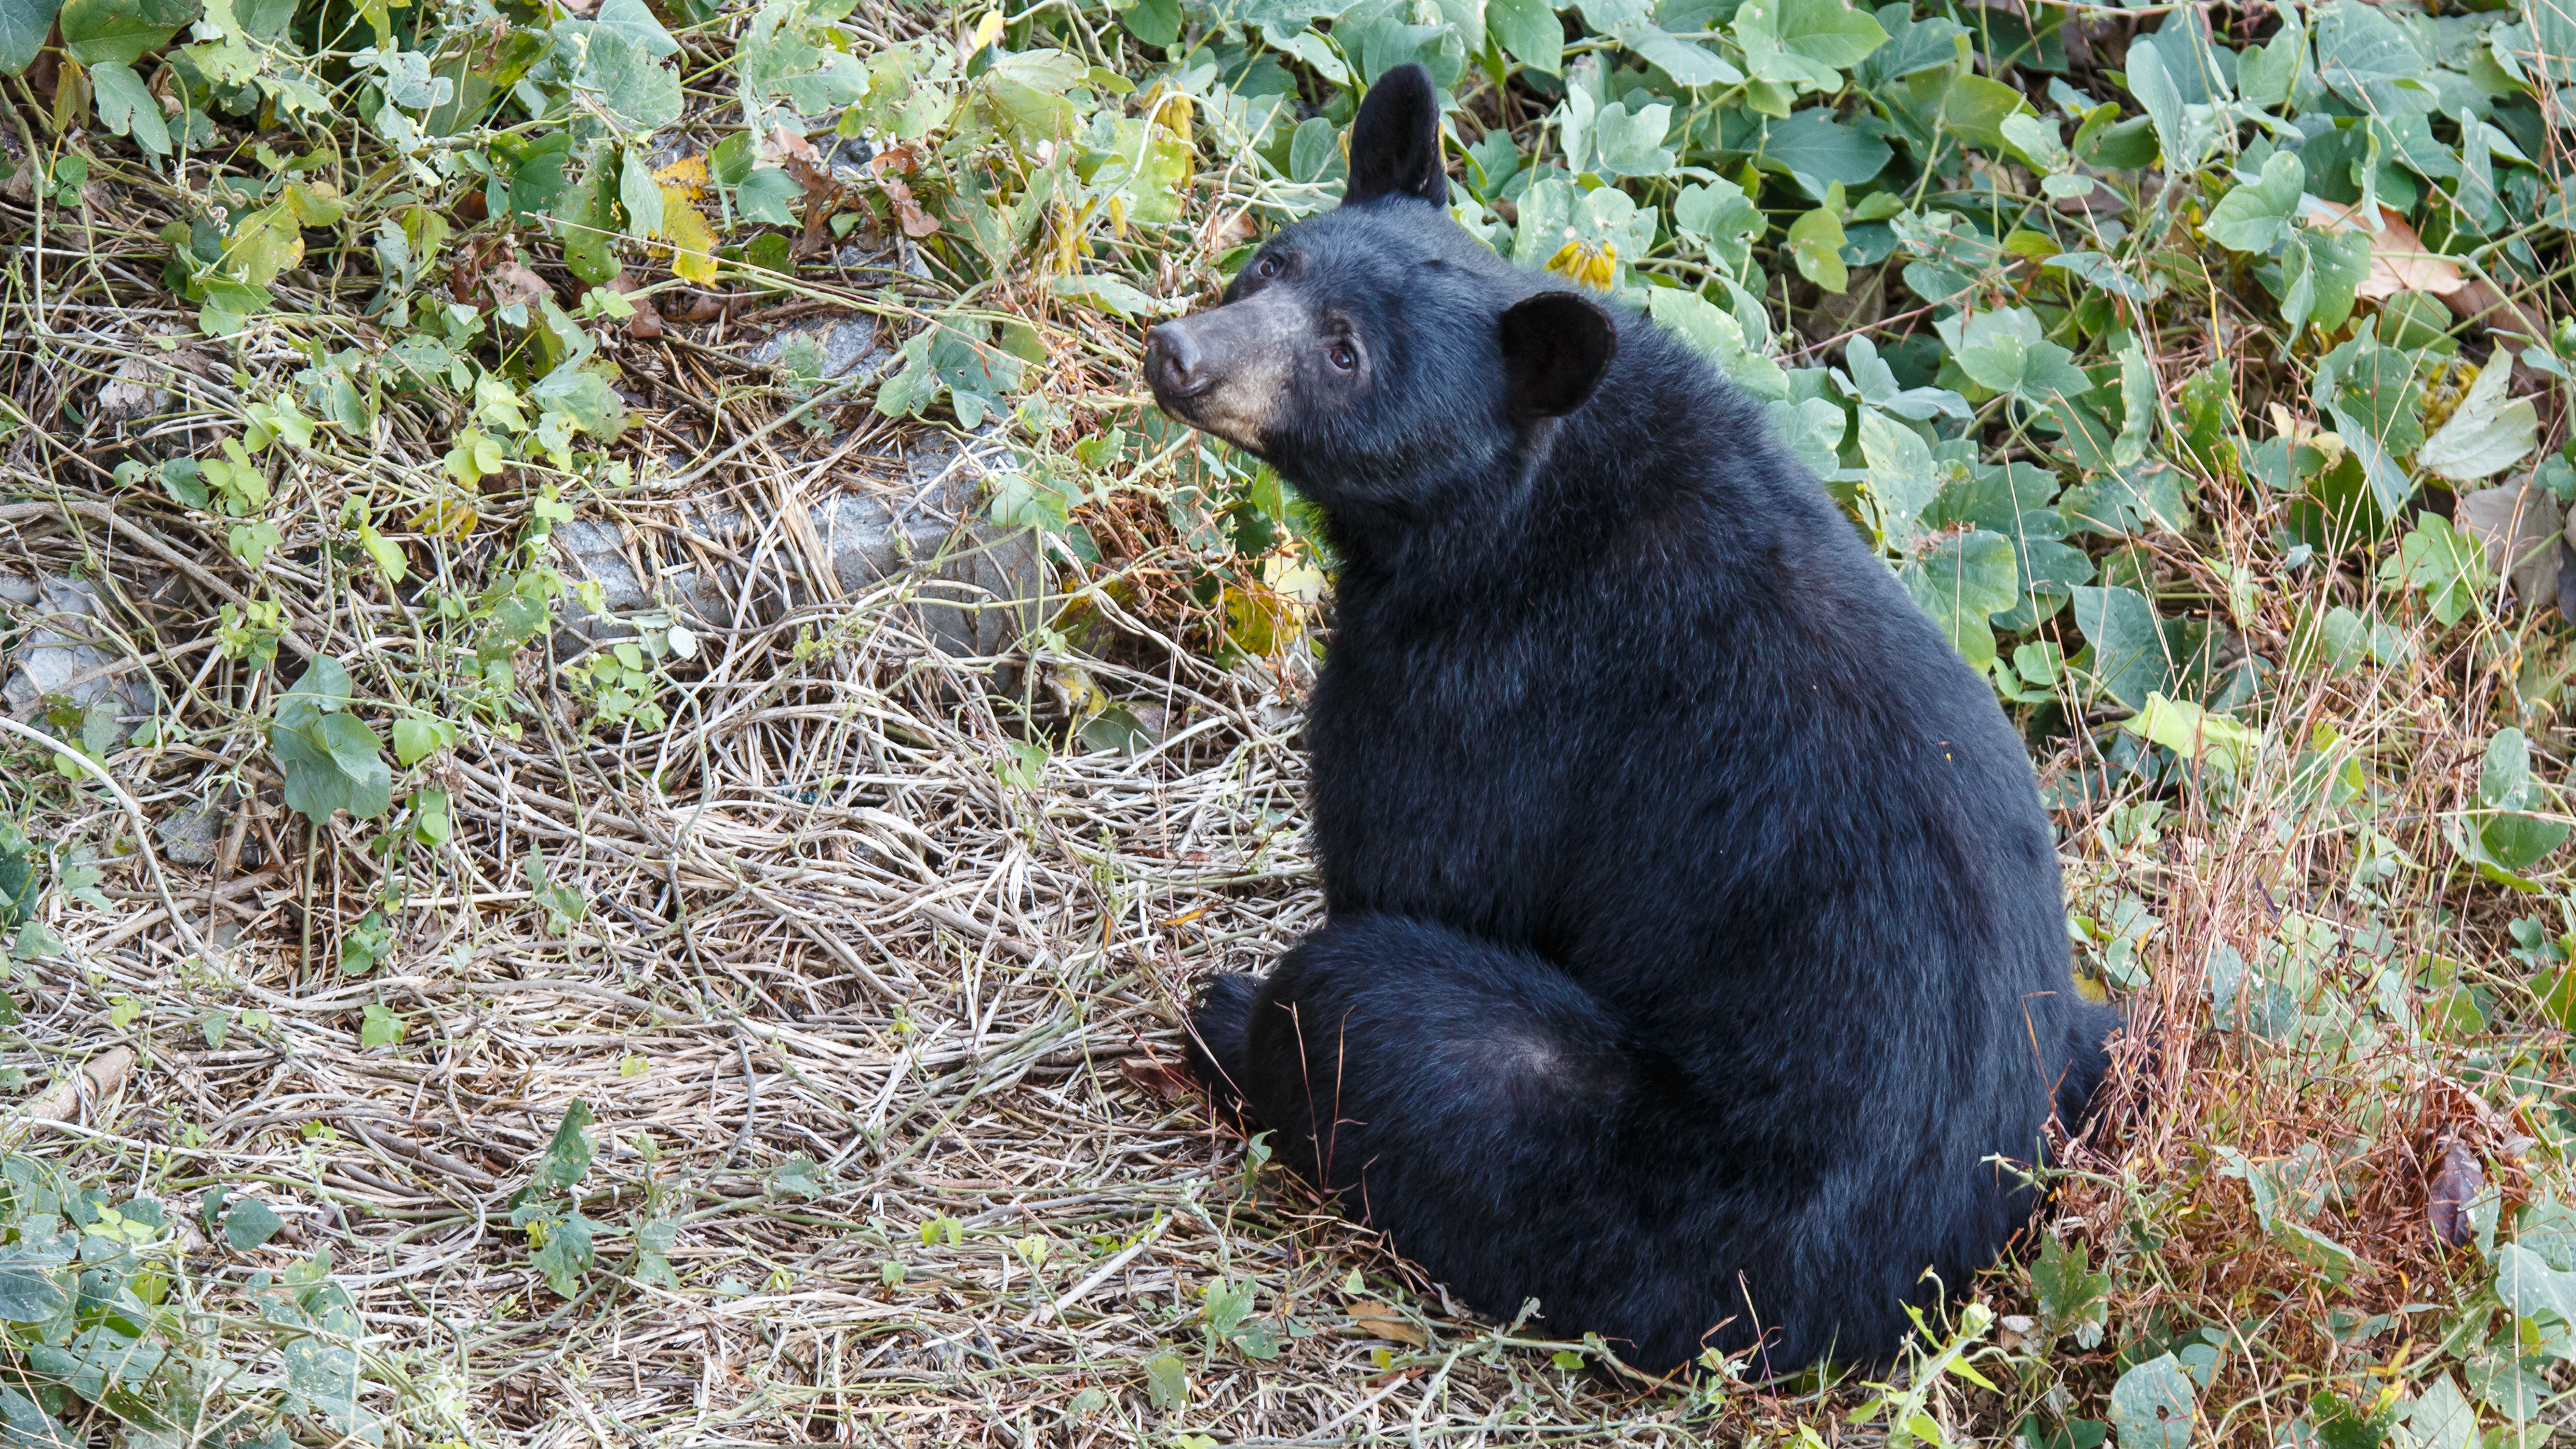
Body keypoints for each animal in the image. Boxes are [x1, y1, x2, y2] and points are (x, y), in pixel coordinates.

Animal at [1141, 62, 2119, 1377]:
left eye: (1347, 355)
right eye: (1271, 265)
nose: (1180, 351)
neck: (1507, 506)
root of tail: (1899, 1291)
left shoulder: (1492, 690)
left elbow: (1420, 862)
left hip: (1649, 1193)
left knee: (1370, 1003)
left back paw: (1237, 1022)